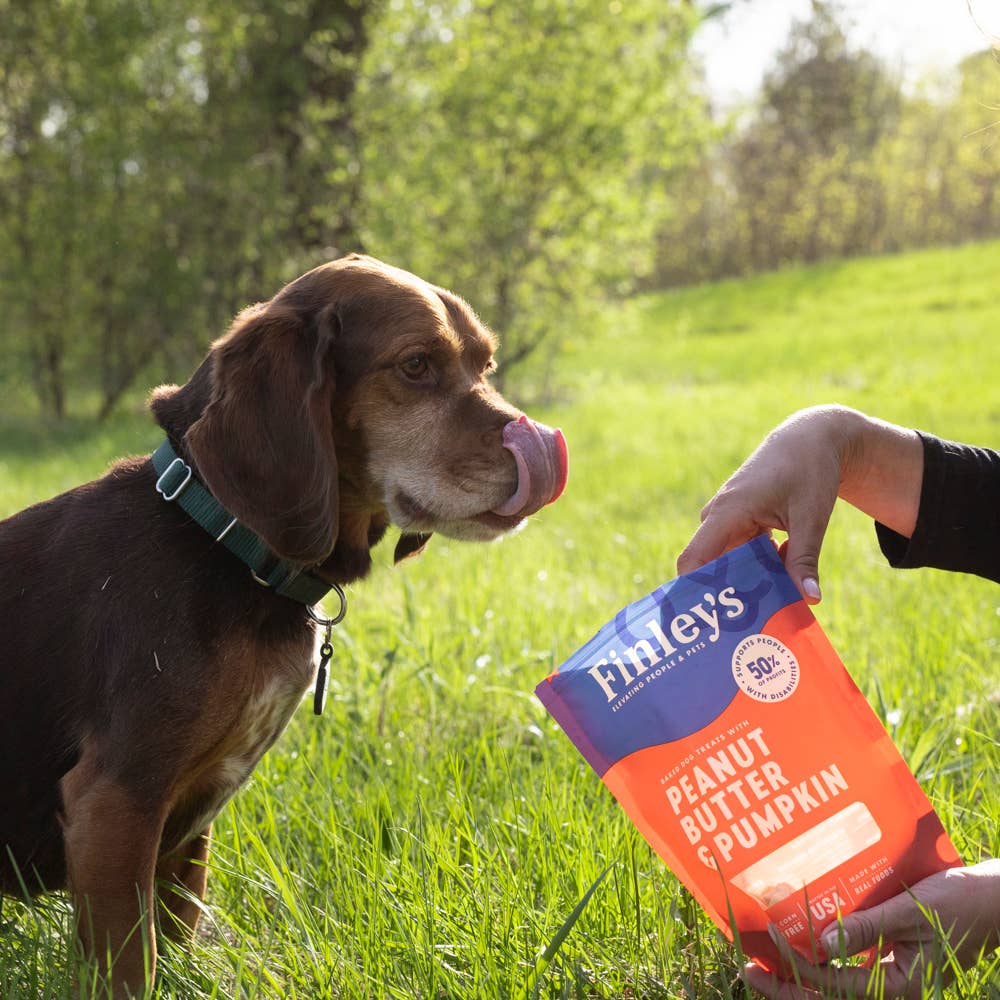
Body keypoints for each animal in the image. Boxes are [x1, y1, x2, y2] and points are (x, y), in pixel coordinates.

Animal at [0, 254, 568, 996]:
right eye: (416, 364)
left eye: (486, 363)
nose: (543, 451)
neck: (223, 541)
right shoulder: (114, 803)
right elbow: (133, 967)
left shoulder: (186, 830)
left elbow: (177, 938)